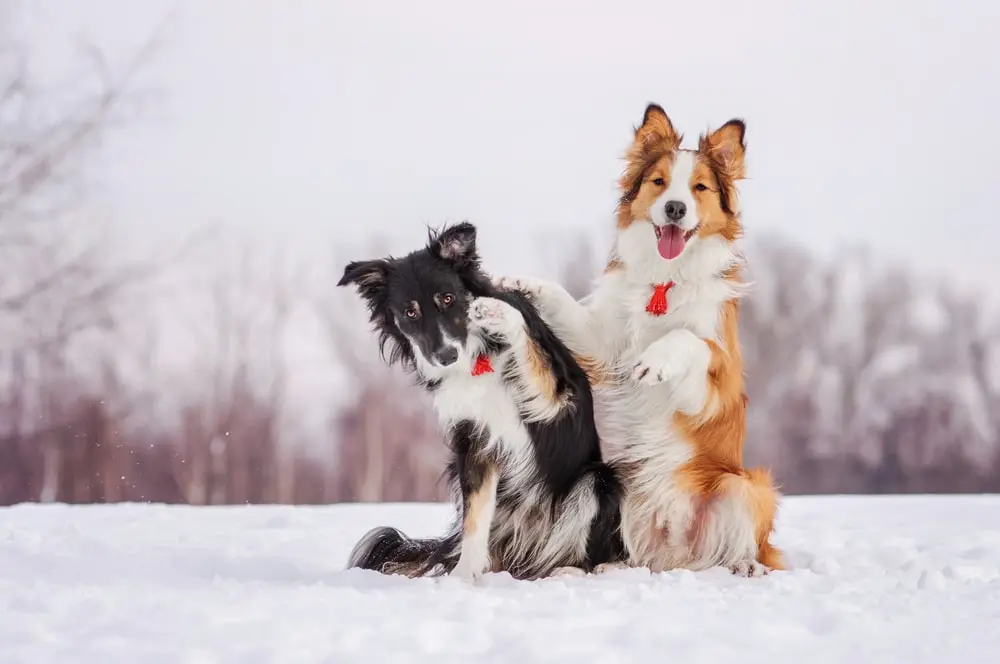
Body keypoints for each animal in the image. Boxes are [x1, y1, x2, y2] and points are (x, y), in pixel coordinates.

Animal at [338, 223, 624, 580]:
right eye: (410, 311)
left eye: (448, 298)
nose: (446, 356)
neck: (477, 359)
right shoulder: (474, 443)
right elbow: (474, 521)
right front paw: (463, 577)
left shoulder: (556, 399)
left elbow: (527, 347)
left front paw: (498, 313)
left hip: (598, 480)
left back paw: (580, 568)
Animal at [496, 104, 784, 576]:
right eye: (659, 182)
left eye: (699, 187)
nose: (674, 207)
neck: (664, 281)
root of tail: (676, 555)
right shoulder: (603, 344)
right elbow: (559, 300)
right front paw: (519, 285)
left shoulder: (715, 377)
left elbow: (687, 338)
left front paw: (655, 360)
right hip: (612, 484)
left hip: (744, 486)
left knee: (743, 543)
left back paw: (744, 565)